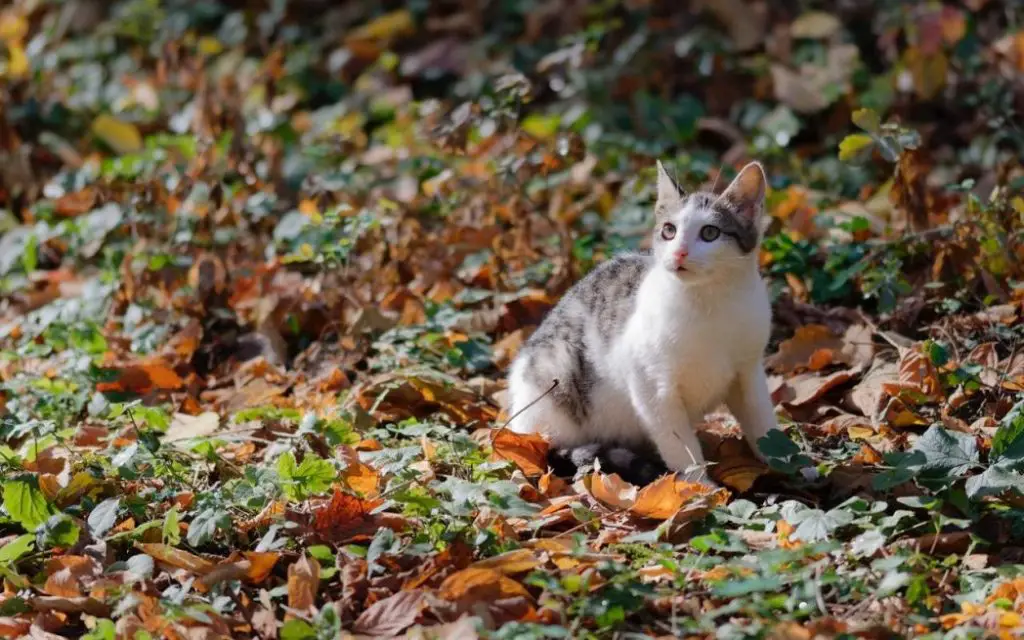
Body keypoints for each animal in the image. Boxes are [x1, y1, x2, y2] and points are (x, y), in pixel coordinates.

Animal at [507, 159, 778, 483]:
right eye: (669, 230)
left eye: (710, 233)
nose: (679, 252)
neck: (710, 301)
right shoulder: (650, 384)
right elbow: (678, 444)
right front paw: (699, 487)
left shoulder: (748, 370)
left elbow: (762, 421)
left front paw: (794, 465)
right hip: (554, 376)